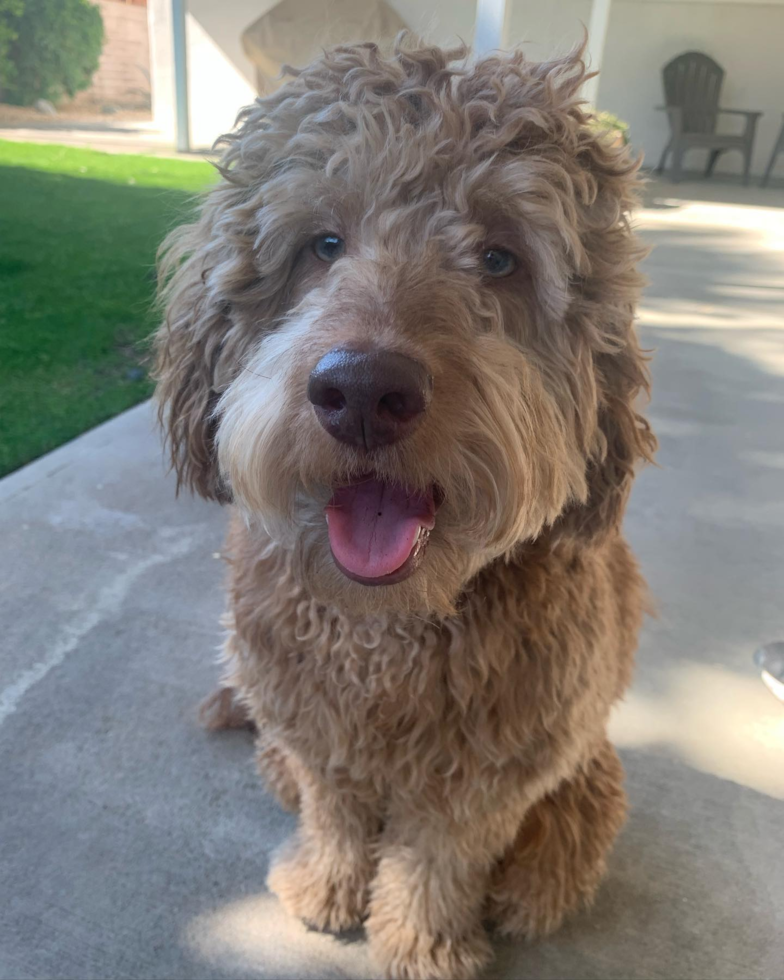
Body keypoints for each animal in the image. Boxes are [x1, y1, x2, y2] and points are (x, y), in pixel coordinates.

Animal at [153, 38, 656, 980]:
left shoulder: (489, 775)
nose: (362, 391)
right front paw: (325, 891)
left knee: (547, 867)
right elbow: (337, 814)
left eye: (499, 258)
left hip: (584, 793)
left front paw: (421, 944)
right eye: (324, 243)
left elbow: (438, 859)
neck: (383, 630)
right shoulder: (316, 734)